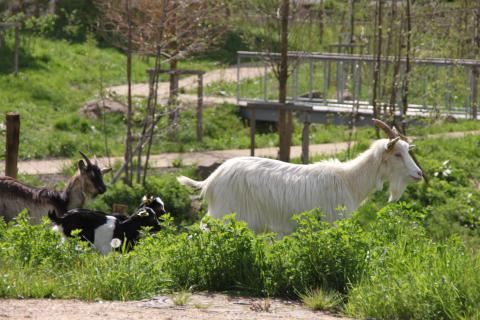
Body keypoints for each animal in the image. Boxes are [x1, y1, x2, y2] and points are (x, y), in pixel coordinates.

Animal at [179, 119, 424, 236]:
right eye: (398, 154)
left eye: (407, 150)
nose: (419, 174)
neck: (349, 181)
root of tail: (210, 180)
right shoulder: (331, 223)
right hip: (224, 214)